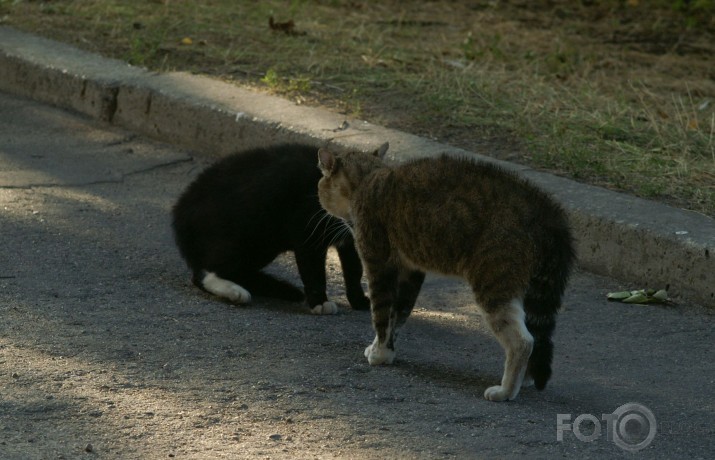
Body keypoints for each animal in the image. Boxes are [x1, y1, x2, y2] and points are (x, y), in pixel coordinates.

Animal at [172, 143, 374, 316]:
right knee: (203, 273)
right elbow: (314, 272)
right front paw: (320, 303)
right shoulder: (307, 236)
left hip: (262, 245)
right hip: (245, 237)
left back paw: (278, 288)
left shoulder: (350, 242)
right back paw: (236, 291)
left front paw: (359, 301)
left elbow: (354, 271)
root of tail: (179, 212)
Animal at [318, 146, 576, 398]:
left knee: (523, 341)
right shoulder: (411, 271)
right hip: (529, 286)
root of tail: (546, 211)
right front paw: (386, 350)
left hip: (493, 282)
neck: (368, 178)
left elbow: (381, 314)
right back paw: (526, 378)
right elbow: (398, 316)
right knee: (536, 335)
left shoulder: (379, 264)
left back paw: (506, 390)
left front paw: (380, 352)